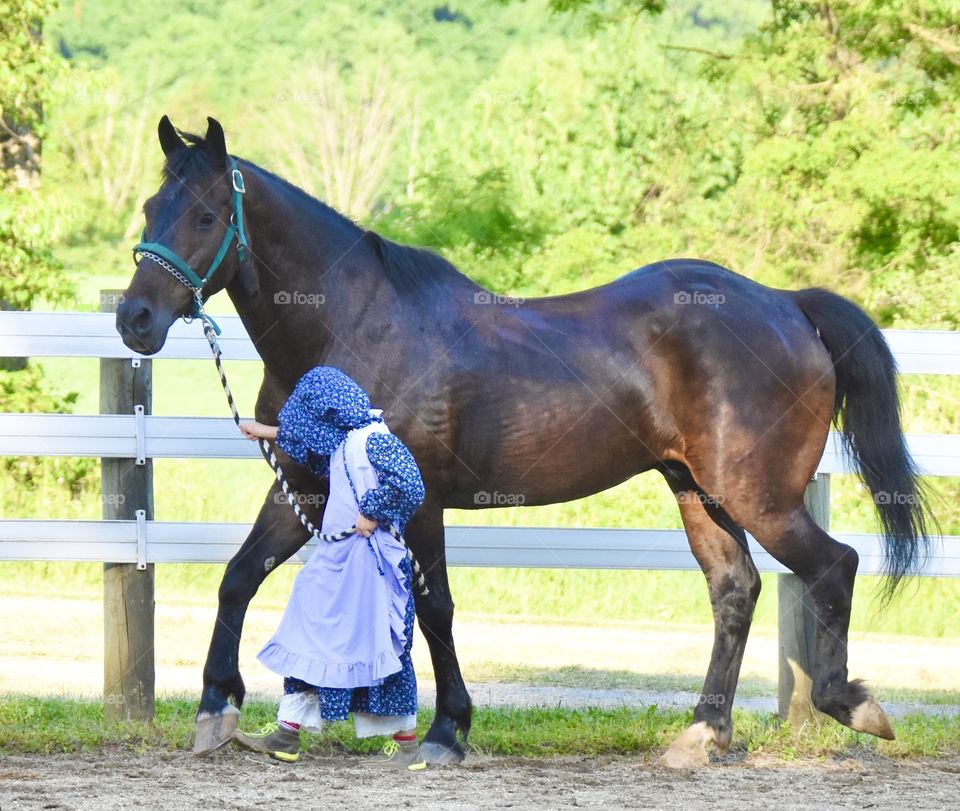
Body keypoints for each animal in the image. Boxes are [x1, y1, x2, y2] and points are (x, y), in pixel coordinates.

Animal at [116, 117, 932, 772]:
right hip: (696, 489)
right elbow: (239, 576)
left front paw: (446, 731)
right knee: (736, 589)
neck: (352, 328)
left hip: (757, 493)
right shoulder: (308, 488)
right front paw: (216, 707)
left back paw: (852, 705)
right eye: (153, 207)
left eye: (206, 214)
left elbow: (434, 607)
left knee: (834, 565)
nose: (135, 318)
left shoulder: (418, 500)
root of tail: (787, 305)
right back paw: (703, 733)